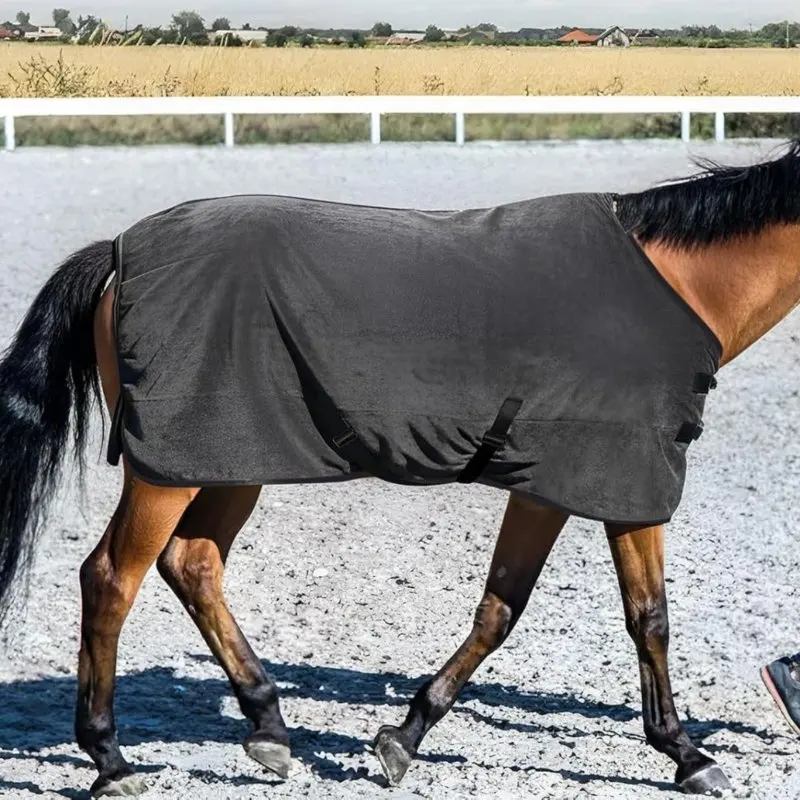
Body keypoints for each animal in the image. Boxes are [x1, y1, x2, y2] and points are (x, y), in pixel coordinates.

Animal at [0, 140, 798, 799]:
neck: (670, 287)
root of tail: (120, 251)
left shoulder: (548, 485)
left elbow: (503, 607)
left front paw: (404, 737)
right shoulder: (629, 482)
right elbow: (649, 617)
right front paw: (687, 754)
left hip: (228, 460)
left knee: (192, 565)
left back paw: (268, 726)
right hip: (168, 471)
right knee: (111, 579)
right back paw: (110, 761)